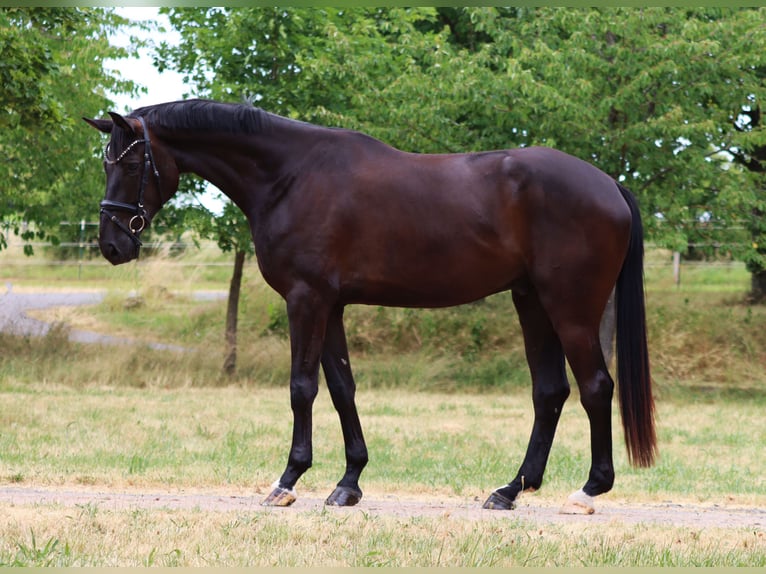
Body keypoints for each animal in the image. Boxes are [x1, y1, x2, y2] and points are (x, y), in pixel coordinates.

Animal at [85, 100, 660, 516]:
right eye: (107, 162)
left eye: (131, 161)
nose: (112, 244)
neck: (290, 175)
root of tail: (608, 183)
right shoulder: (331, 304)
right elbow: (342, 388)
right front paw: (349, 483)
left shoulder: (306, 299)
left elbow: (302, 388)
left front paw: (287, 481)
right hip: (531, 301)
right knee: (550, 392)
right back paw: (509, 490)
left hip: (571, 308)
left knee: (595, 388)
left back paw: (588, 490)